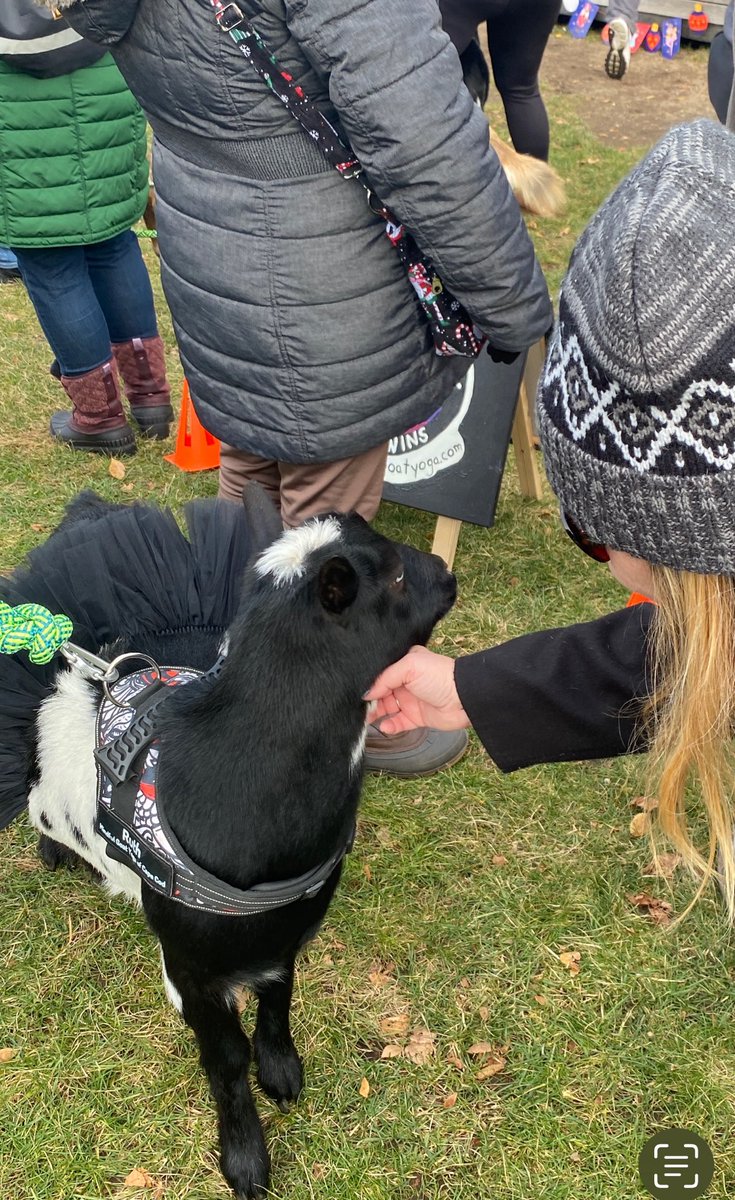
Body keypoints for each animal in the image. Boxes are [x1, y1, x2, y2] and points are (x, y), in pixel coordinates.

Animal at [0, 485, 457, 1199]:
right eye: (397, 576)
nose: (446, 573)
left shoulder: (282, 930)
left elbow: (277, 999)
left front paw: (283, 1071)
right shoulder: (195, 967)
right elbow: (225, 1056)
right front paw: (245, 1159)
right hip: (51, 769)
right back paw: (54, 850)